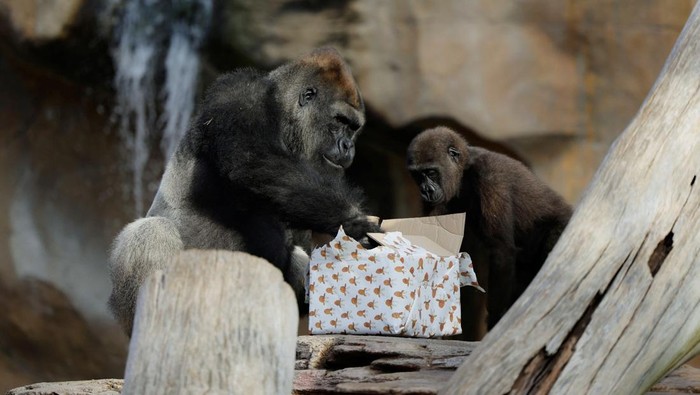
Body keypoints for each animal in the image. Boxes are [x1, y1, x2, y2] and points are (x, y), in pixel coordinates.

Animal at [110, 48, 380, 336]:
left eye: (353, 128)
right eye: (340, 121)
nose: (348, 147)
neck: (283, 117)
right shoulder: (238, 91)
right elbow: (250, 159)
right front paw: (353, 222)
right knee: (151, 231)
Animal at [408, 127, 572, 338]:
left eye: (430, 172)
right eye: (418, 175)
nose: (425, 191)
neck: (464, 170)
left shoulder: (490, 175)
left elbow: (501, 250)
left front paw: (495, 319)